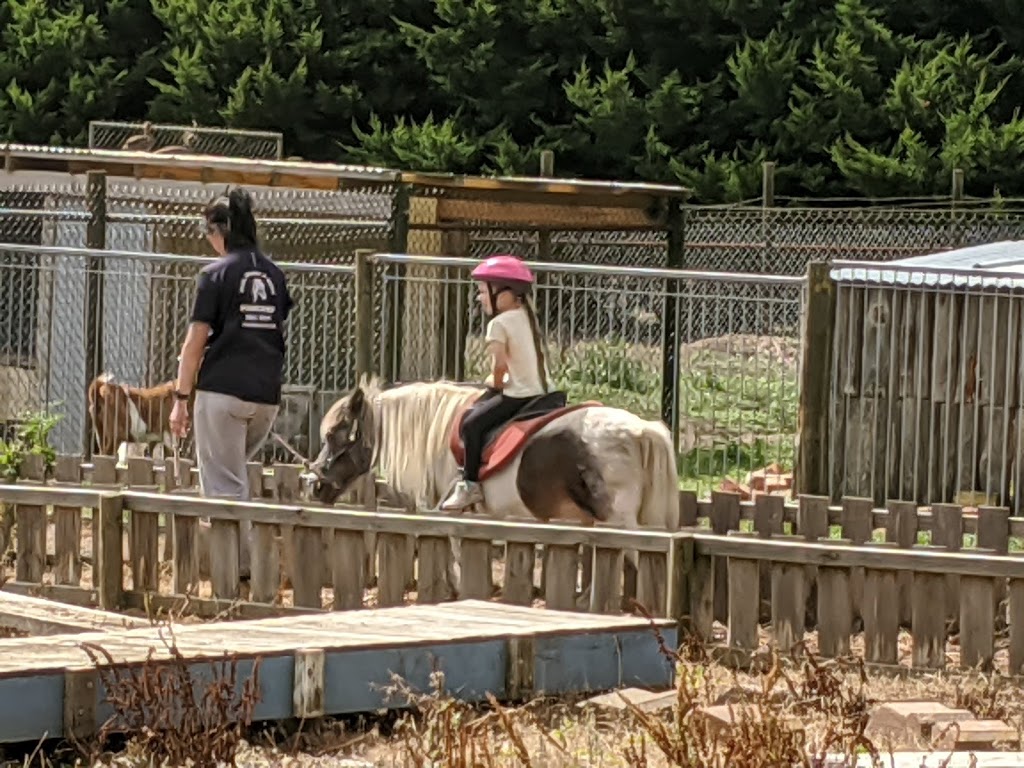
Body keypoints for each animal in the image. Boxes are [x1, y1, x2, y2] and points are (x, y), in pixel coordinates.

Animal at [311, 376, 679, 610]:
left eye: (333, 434)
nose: (315, 484)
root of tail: (641, 430)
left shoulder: (446, 511)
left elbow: (453, 548)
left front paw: (458, 590)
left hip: (620, 520)